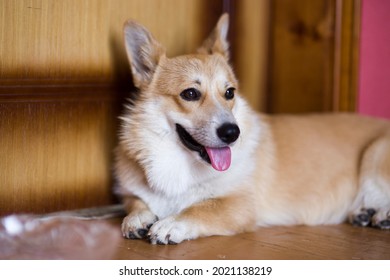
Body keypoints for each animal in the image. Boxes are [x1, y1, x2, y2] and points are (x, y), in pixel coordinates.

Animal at [115, 14, 390, 244]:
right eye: (190, 94)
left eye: (229, 92)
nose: (232, 133)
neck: (180, 164)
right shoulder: (132, 194)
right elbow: (136, 203)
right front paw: (137, 219)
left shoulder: (240, 205)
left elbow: (201, 208)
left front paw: (171, 224)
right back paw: (365, 213)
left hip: (375, 154)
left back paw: (381, 214)